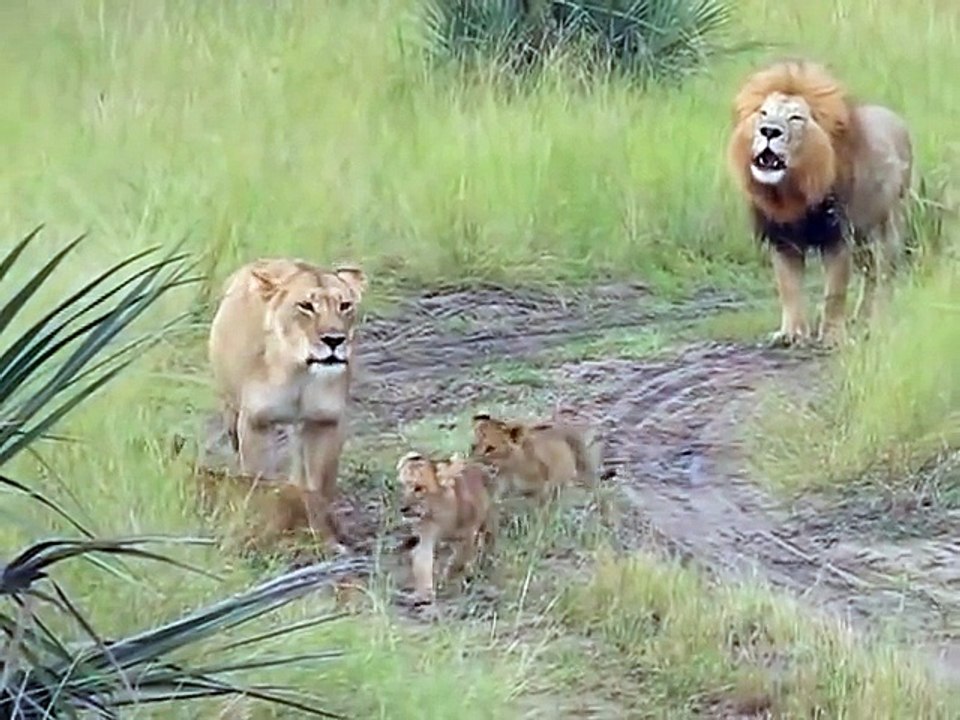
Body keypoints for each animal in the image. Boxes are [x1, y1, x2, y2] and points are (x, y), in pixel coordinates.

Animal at [207, 257, 367, 553]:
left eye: (344, 305)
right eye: (306, 306)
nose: (334, 340)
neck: (298, 371)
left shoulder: (324, 422)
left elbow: (319, 489)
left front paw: (324, 534)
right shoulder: (256, 423)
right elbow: (259, 479)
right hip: (231, 410)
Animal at [395, 451, 497, 605]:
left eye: (418, 488)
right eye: (403, 486)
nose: (402, 508)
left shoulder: (468, 535)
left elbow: (457, 562)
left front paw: (447, 578)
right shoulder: (426, 537)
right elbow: (423, 563)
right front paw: (424, 595)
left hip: (486, 521)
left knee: (485, 541)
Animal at [469, 413, 602, 502]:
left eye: (490, 448)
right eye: (473, 446)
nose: (474, 462)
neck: (510, 469)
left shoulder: (541, 491)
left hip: (583, 468)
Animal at [727, 59, 913, 346]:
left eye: (795, 118)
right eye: (763, 113)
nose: (769, 131)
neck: (791, 190)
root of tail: (898, 120)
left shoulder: (837, 236)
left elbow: (834, 292)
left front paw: (833, 336)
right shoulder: (783, 241)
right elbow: (789, 288)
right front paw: (791, 333)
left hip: (888, 226)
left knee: (885, 274)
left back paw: (878, 322)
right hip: (863, 238)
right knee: (870, 274)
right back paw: (861, 319)